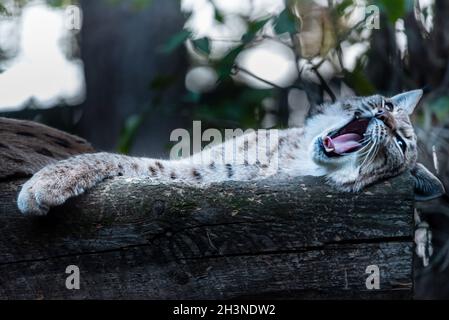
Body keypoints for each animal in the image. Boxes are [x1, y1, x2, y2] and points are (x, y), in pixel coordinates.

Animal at [17, 89, 444, 216]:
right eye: (388, 104)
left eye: (401, 143)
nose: (383, 117)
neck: (299, 159)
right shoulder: (195, 172)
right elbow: (124, 161)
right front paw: (46, 180)